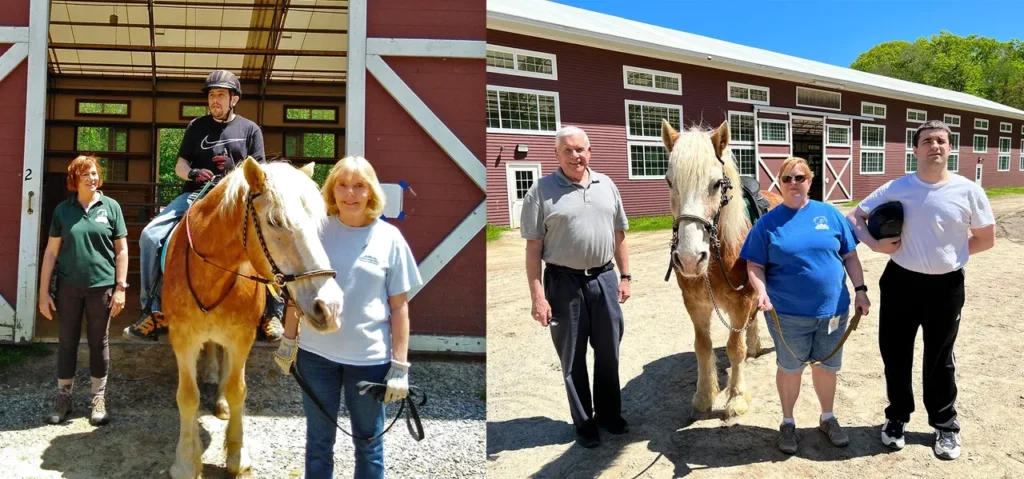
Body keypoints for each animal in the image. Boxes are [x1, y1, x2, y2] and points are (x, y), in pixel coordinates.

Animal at [162, 158, 344, 476]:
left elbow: (237, 390)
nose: (330, 307)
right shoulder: (182, 338)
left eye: (317, 224)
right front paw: (185, 462)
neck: (210, 274)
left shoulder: (241, 337)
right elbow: (187, 396)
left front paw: (237, 457)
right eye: (275, 221)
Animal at [659, 120, 778, 419]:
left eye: (715, 184)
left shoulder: (741, 302)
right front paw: (704, 395)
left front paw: (736, 397)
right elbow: (703, 347)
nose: (690, 258)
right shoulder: (695, 304)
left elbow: (735, 348)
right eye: (669, 182)